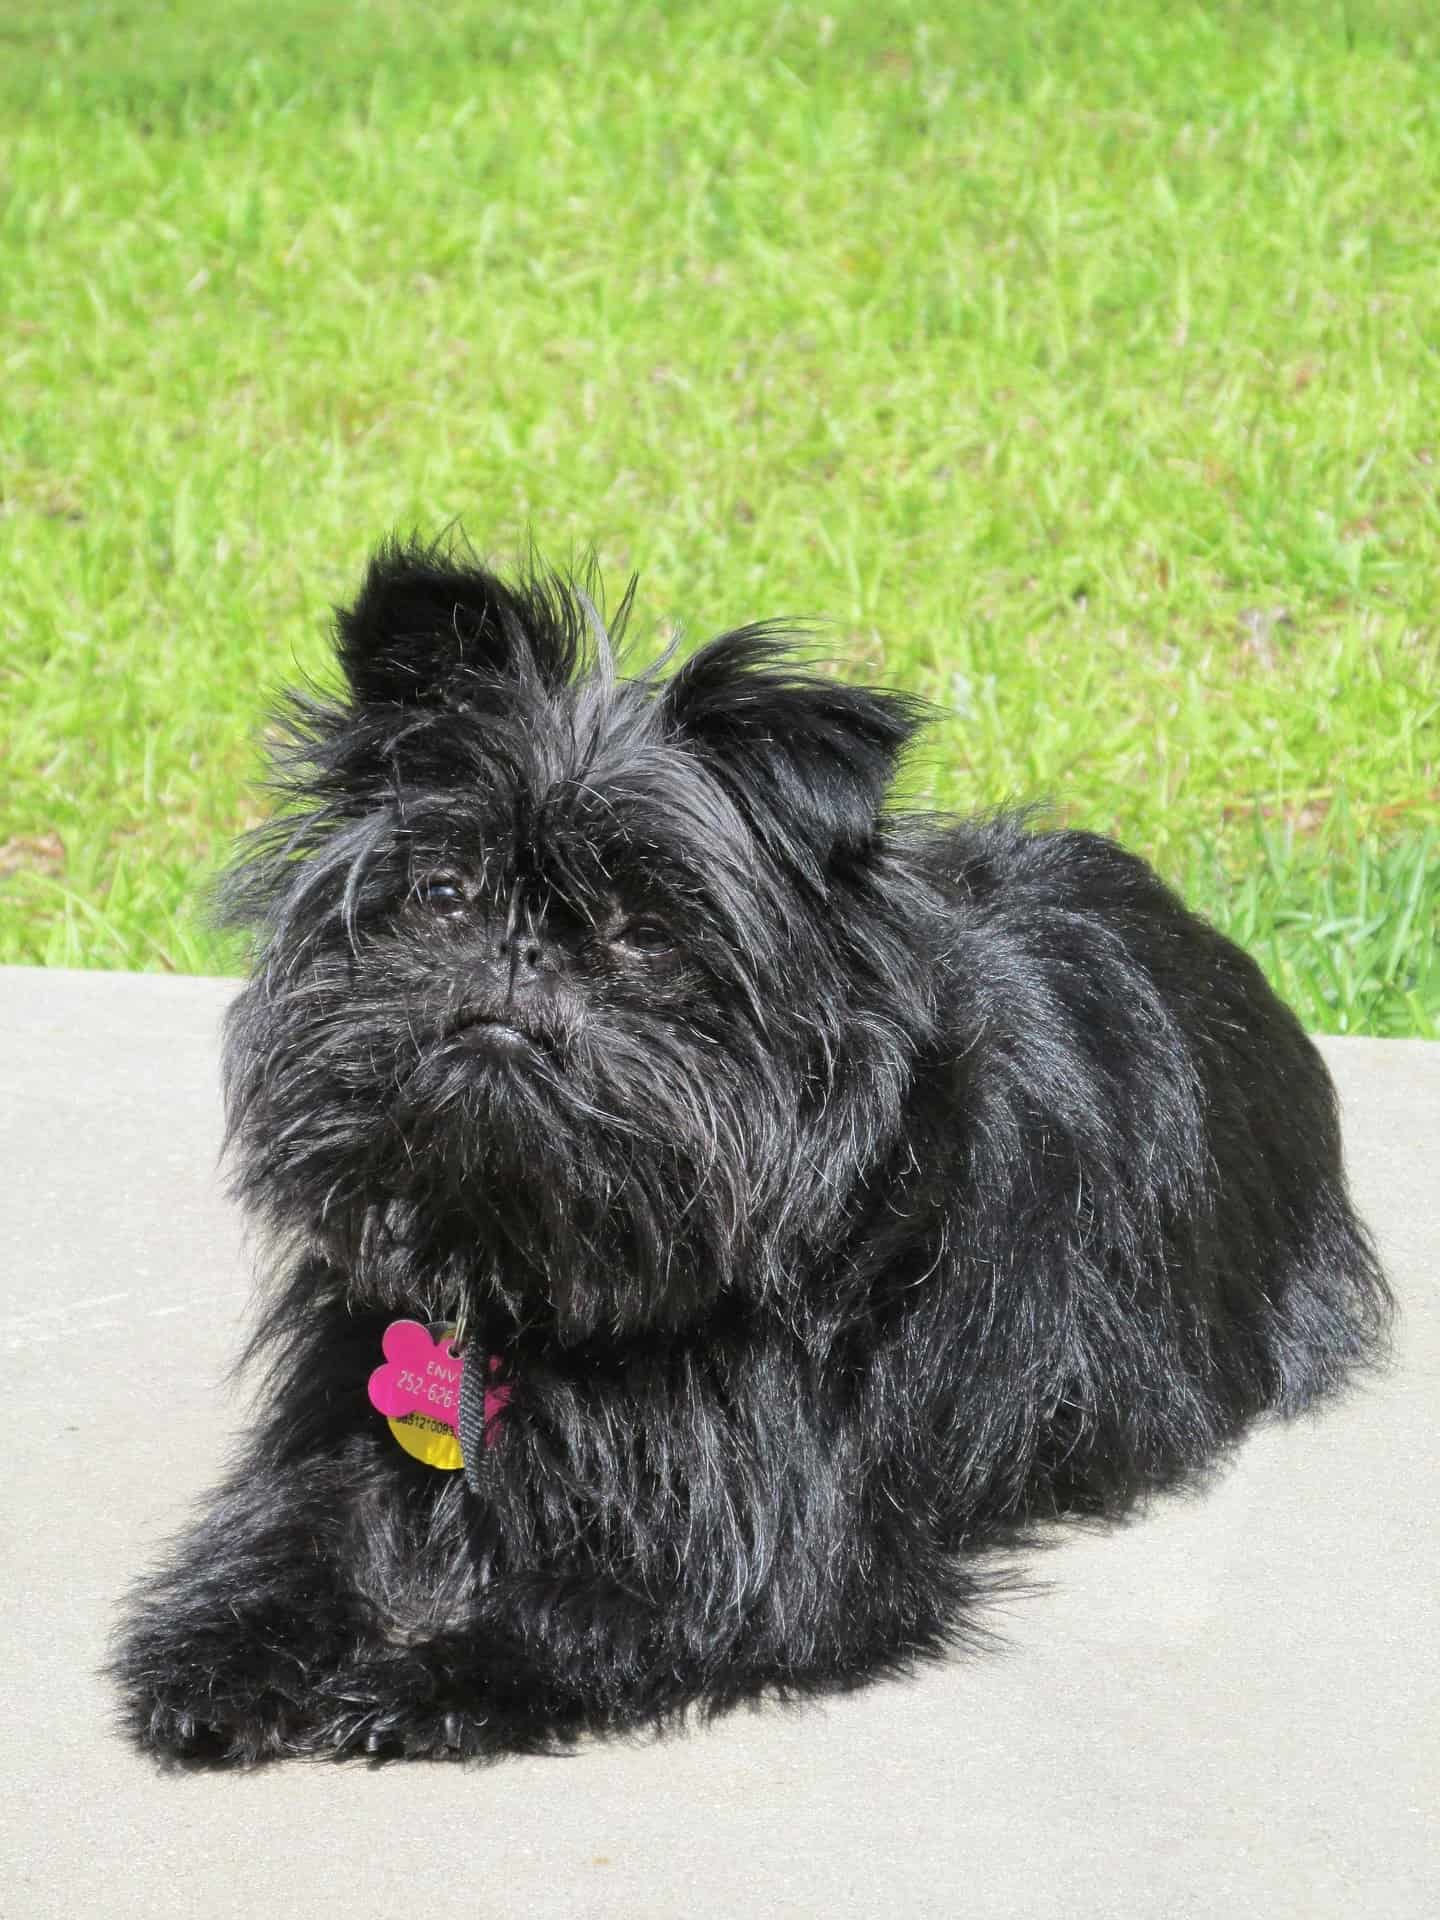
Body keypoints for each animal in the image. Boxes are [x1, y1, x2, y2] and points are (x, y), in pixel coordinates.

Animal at [115, 533, 1397, 1758]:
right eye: (442, 891)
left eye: (644, 933)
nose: (522, 952)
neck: (542, 1257)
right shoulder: (344, 1417)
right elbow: (289, 1536)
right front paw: (222, 1651)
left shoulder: (769, 1552)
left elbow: (584, 1611)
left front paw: (419, 1678)